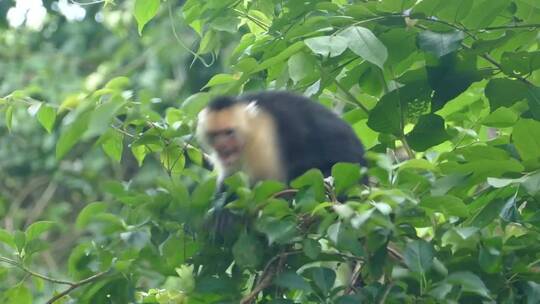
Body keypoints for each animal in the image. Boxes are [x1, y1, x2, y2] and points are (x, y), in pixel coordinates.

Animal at [196, 90, 364, 190]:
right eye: (214, 135)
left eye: (229, 132)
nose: (221, 145)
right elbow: (230, 178)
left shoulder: (261, 140)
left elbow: (272, 186)